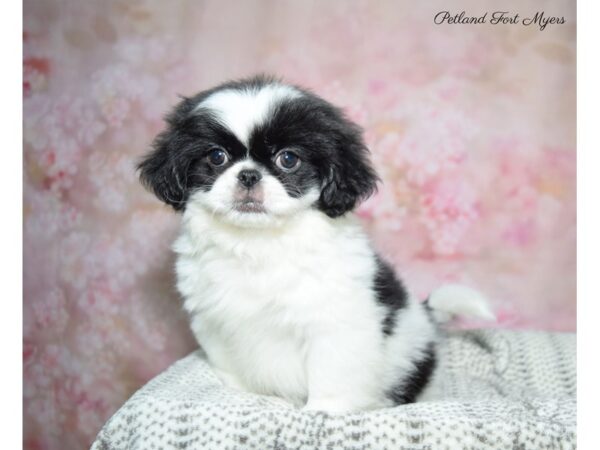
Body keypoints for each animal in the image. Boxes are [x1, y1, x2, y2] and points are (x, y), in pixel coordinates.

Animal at [138, 75, 494, 414]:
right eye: (216, 156)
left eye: (288, 159)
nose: (249, 175)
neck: (258, 243)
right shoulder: (215, 324)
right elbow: (229, 367)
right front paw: (238, 395)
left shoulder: (335, 325)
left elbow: (331, 374)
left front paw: (324, 411)